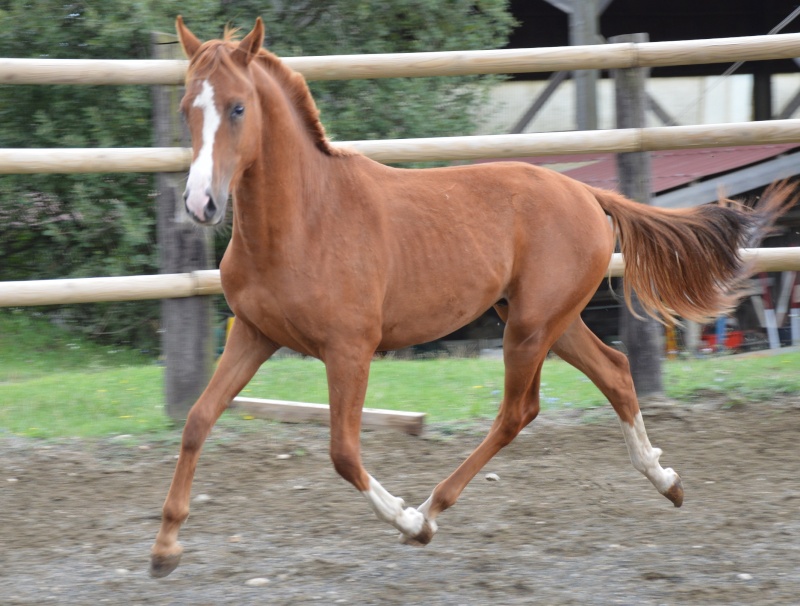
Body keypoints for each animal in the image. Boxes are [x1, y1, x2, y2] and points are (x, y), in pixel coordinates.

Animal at [150, 16, 792, 580]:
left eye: (238, 107)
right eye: (185, 109)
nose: (201, 203)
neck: (304, 221)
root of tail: (586, 192)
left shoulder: (349, 349)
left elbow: (343, 452)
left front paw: (408, 523)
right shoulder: (253, 334)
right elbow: (197, 421)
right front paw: (164, 549)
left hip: (530, 326)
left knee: (518, 411)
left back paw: (432, 509)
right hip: (549, 320)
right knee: (614, 370)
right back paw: (666, 480)